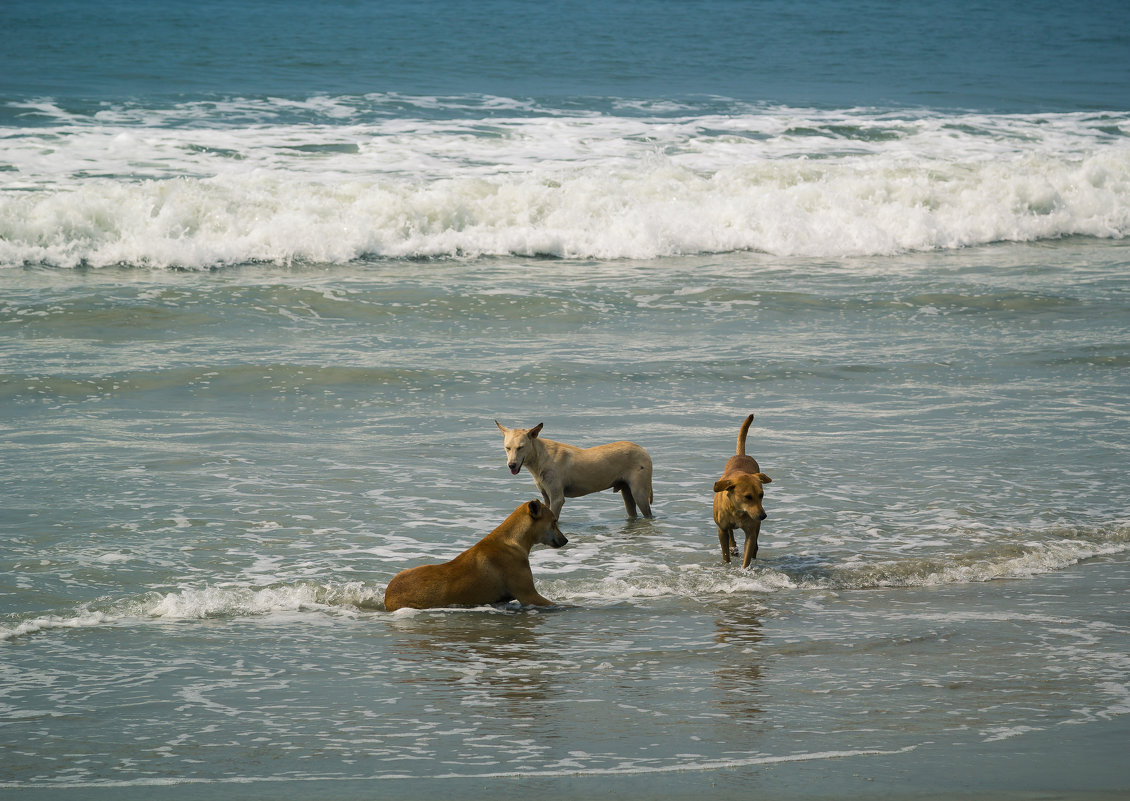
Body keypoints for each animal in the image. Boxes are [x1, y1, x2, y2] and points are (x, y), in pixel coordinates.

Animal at [494, 418, 655, 519]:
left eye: (520, 447)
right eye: (507, 448)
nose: (511, 465)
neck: (539, 458)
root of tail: (644, 451)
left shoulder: (557, 497)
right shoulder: (546, 497)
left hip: (639, 491)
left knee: (648, 513)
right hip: (626, 490)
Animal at [709, 413, 772, 569]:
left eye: (761, 495)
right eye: (747, 496)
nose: (764, 516)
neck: (738, 510)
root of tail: (741, 455)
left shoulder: (751, 530)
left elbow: (748, 555)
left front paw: (745, 570)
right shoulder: (721, 529)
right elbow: (725, 551)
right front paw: (726, 563)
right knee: (731, 534)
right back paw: (733, 547)